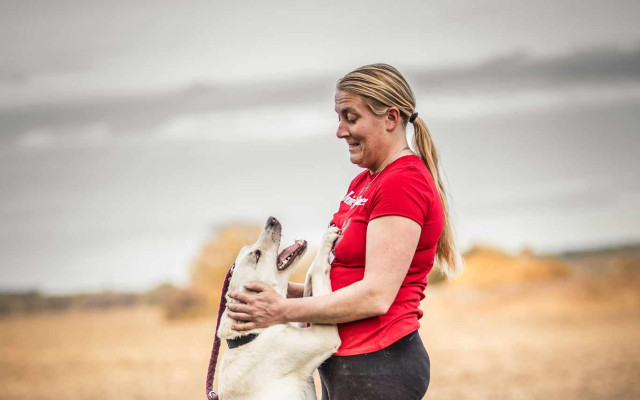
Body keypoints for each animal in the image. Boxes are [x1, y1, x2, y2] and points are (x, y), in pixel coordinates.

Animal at [215, 217, 342, 398]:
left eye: (246, 249)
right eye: (257, 255)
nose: (272, 219)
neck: (251, 334)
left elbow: (309, 285)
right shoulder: (323, 336)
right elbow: (317, 268)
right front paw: (327, 238)